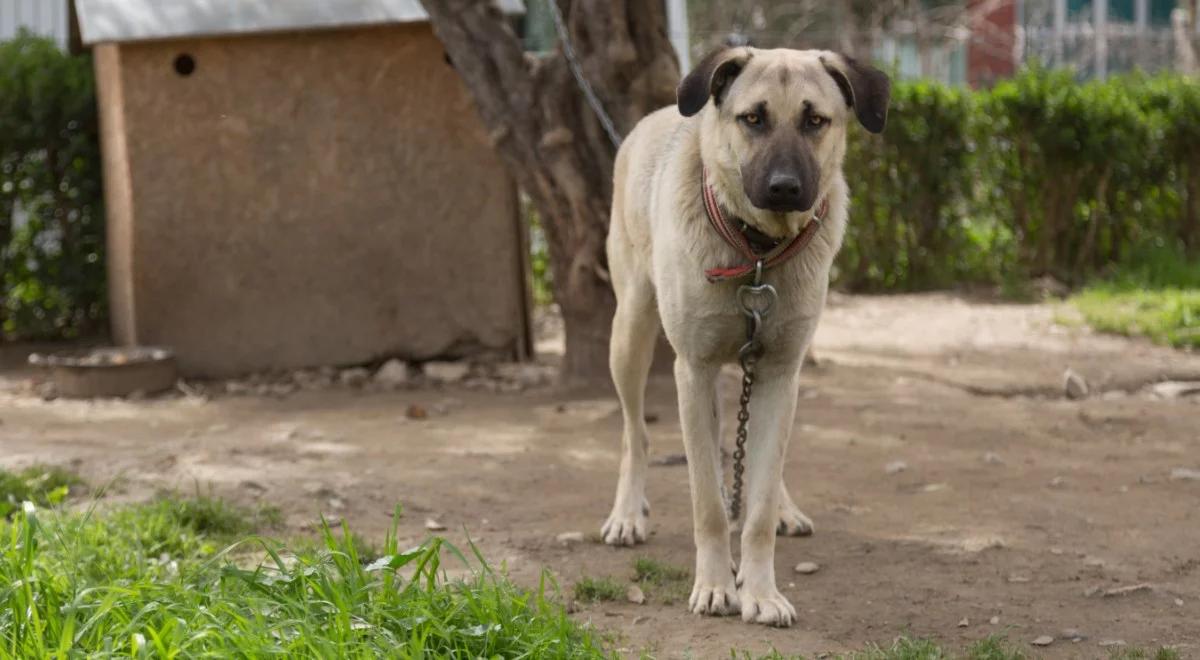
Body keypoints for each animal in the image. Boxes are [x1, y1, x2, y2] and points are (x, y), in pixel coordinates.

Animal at [604, 49, 888, 628]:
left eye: (815, 120)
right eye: (753, 118)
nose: (784, 187)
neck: (757, 251)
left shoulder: (781, 371)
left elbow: (755, 502)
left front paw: (761, 591)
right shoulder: (692, 369)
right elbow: (709, 506)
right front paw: (715, 586)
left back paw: (783, 507)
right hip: (631, 332)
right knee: (635, 433)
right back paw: (627, 514)